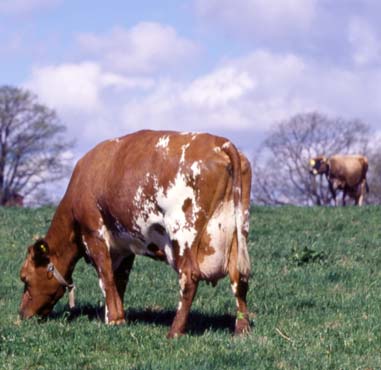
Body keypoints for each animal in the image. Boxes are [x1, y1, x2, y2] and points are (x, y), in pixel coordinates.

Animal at [20, 130, 252, 338]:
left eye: (24, 278)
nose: (21, 315)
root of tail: (220, 143)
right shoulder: (124, 246)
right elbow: (119, 280)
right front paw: (115, 315)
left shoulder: (94, 234)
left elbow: (106, 277)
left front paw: (114, 319)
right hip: (238, 231)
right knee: (238, 277)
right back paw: (242, 330)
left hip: (183, 233)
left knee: (189, 277)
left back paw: (175, 331)